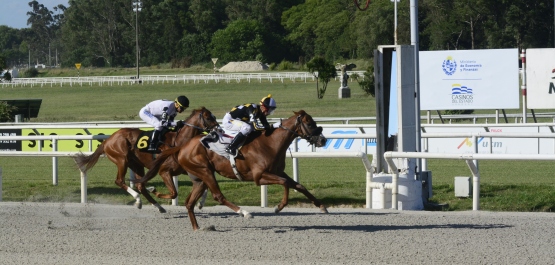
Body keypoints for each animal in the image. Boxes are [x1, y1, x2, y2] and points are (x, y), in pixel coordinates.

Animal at [73, 106, 219, 211]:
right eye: (208, 117)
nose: (219, 129)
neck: (178, 141)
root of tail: (108, 139)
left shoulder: (187, 169)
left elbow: (205, 185)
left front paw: (200, 203)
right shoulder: (164, 171)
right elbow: (174, 193)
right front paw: (155, 191)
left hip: (136, 164)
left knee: (140, 185)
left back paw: (157, 206)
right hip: (121, 159)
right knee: (120, 181)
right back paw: (138, 199)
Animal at [138, 109, 330, 229]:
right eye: (309, 123)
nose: (323, 140)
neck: (270, 143)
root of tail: (182, 146)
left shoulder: (277, 171)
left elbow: (298, 185)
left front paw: (322, 206)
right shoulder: (259, 176)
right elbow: (284, 183)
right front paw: (278, 207)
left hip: (199, 178)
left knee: (189, 203)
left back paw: (197, 227)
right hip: (205, 171)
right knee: (218, 196)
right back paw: (244, 212)